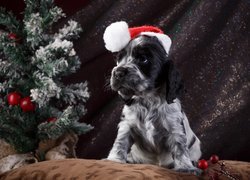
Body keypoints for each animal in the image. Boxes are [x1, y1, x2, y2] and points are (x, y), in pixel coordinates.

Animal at [102, 21, 202, 174]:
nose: (118, 72)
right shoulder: (127, 125)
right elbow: (120, 142)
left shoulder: (174, 127)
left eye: (143, 59)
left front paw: (186, 167)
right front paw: (114, 160)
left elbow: (180, 147)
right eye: (119, 59)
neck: (147, 99)